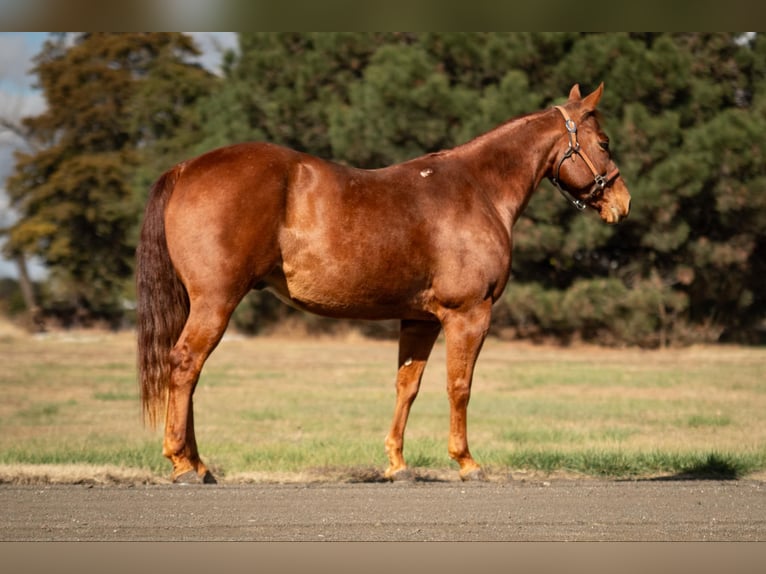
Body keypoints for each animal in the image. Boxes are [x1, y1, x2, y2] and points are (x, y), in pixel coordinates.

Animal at [136, 82, 632, 486]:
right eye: (604, 142)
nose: (623, 203)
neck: (478, 190)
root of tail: (185, 168)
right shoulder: (469, 314)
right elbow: (459, 385)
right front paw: (466, 462)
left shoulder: (420, 320)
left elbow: (406, 386)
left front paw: (397, 464)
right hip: (216, 301)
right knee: (185, 365)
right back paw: (182, 464)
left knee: (188, 372)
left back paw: (198, 463)